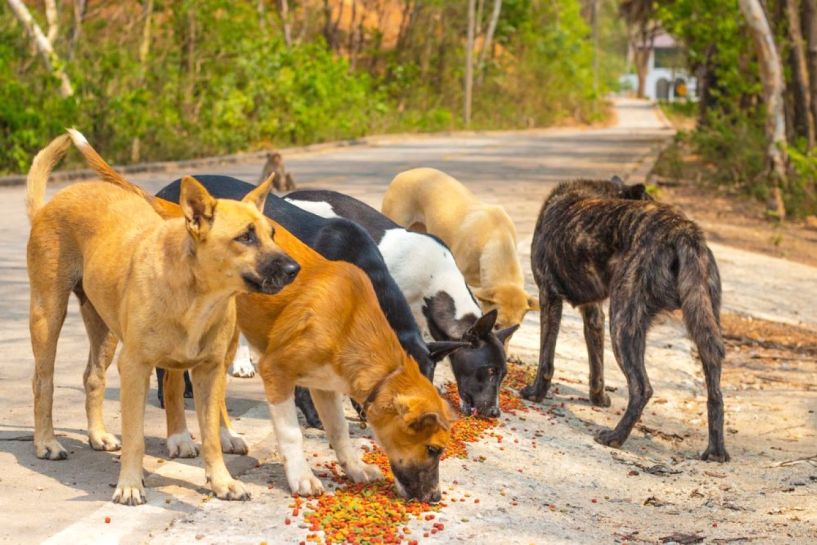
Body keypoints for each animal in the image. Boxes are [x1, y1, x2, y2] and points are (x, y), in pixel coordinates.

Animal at [25, 132, 300, 506]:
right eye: (245, 236)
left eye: (271, 233)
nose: (294, 269)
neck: (197, 295)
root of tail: (49, 205)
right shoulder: (135, 368)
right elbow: (136, 436)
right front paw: (129, 484)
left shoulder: (209, 371)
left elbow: (211, 436)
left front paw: (222, 482)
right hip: (48, 315)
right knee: (43, 382)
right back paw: (47, 443)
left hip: (104, 330)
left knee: (92, 377)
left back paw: (98, 434)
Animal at [520, 177, 728, 460]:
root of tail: (683, 230)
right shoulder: (593, 311)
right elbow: (596, 364)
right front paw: (598, 398)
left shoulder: (548, 296)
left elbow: (545, 359)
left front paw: (535, 394)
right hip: (704, 328)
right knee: (715, 393)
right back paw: (716, 451)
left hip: (622, 323)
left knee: (642, 388)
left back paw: (615, 437)